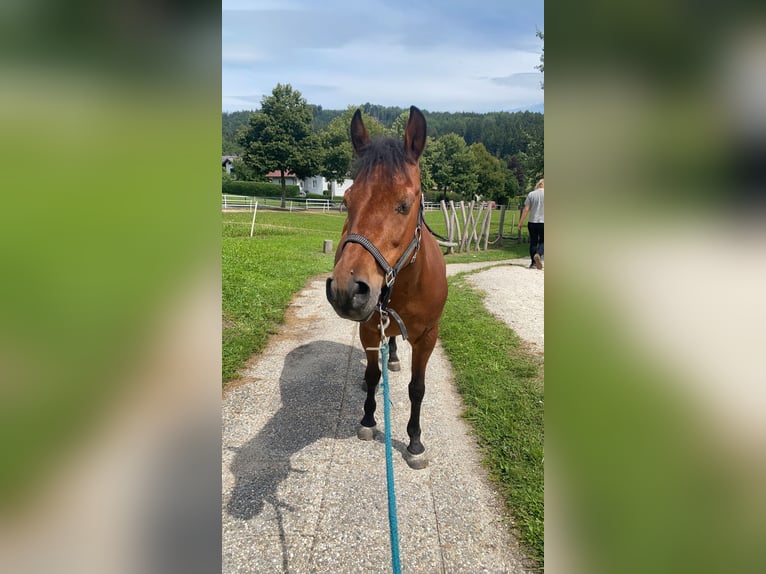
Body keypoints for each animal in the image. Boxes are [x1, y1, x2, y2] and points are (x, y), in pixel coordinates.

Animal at [326, 108, 450, 472]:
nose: (346, 289)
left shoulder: (428, 336)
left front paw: (414, 442)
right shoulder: (369, 327)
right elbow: (370, 375)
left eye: (405, 204)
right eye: (347, 201)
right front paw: (369, 420)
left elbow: (417, 388)